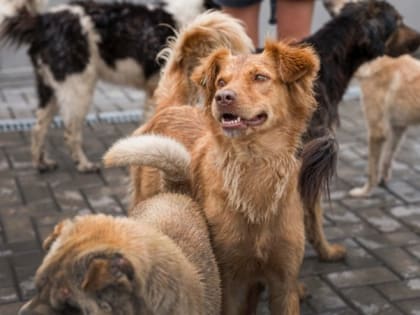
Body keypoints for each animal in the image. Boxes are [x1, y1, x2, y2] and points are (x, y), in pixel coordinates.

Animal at [0, 0, 215, 173]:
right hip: (78, 89)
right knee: (70, 132)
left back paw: (41, 163)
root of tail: (43, 22)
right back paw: (84, 165)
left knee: (39, 127)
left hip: (50, 89)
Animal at [105, 40, 318, 315]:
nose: (223, 97)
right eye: (221, 82)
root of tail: (171, 106)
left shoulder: (284, 283)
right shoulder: (228, 282)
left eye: (260, 77)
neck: (253, 168)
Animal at [350, 55, 420, 198]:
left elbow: (371, 170)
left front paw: (365, 192)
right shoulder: (398, 127)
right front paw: (383, 180)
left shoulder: (376, 131)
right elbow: (387, 158)